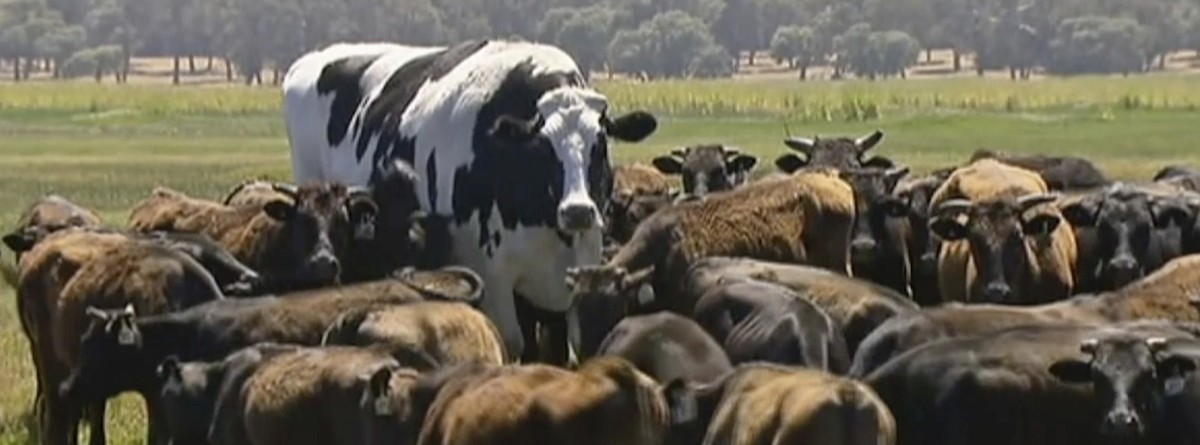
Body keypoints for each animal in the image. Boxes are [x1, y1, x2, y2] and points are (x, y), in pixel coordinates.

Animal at [283, 40, 659, 362]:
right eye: (541, 146)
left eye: (601, 143)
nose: (577, 211)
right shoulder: (491, 276)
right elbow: (512, 343)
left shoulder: (574, 272)